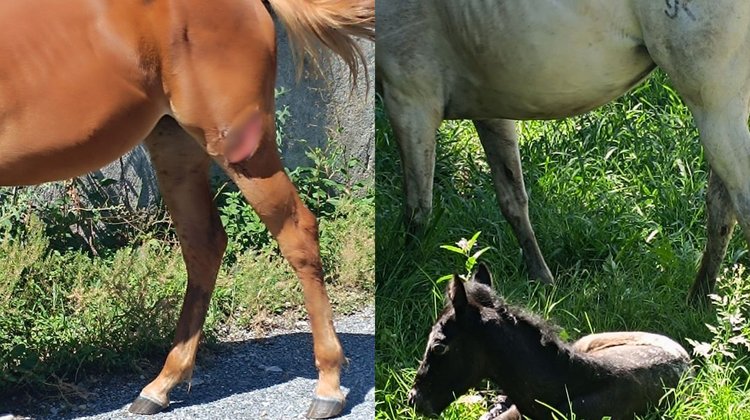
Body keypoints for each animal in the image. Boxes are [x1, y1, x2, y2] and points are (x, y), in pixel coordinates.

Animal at [0, 0, 373, 417]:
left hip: (238, 146)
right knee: (204, 245)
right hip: (175, 144)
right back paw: (162, 384)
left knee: (297, 233)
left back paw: (328, 387)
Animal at [377, 0, 750, 303]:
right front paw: (542, 282)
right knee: (722, 207)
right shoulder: (489, 107)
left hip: (715, 106)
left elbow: (417, 209)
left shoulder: (410, 98)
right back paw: (699, 300)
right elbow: (513, 200)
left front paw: (402, 275)